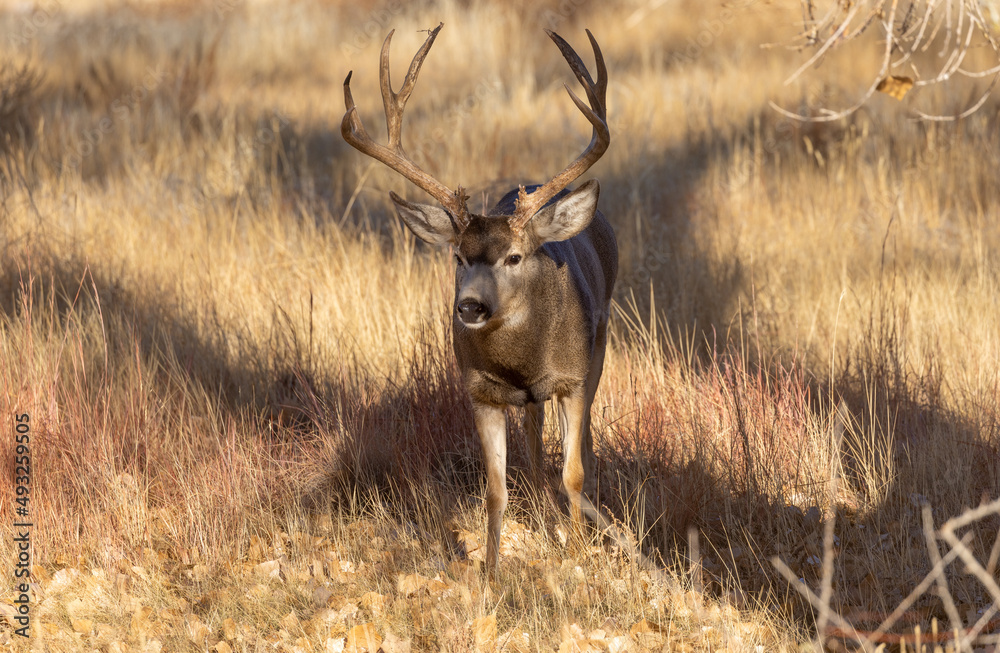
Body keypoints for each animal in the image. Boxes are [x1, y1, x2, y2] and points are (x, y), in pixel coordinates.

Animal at [341, 22, 616, 577]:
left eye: (514, 256)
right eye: (457, 257)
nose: (469, 307)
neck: (522, 363)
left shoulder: (573, 378)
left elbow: (573, 472)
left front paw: (577, 557)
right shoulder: (480, 392)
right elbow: (495, 489)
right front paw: (490, 574)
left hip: (598, 351)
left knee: (584, 446)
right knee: (533, 441)